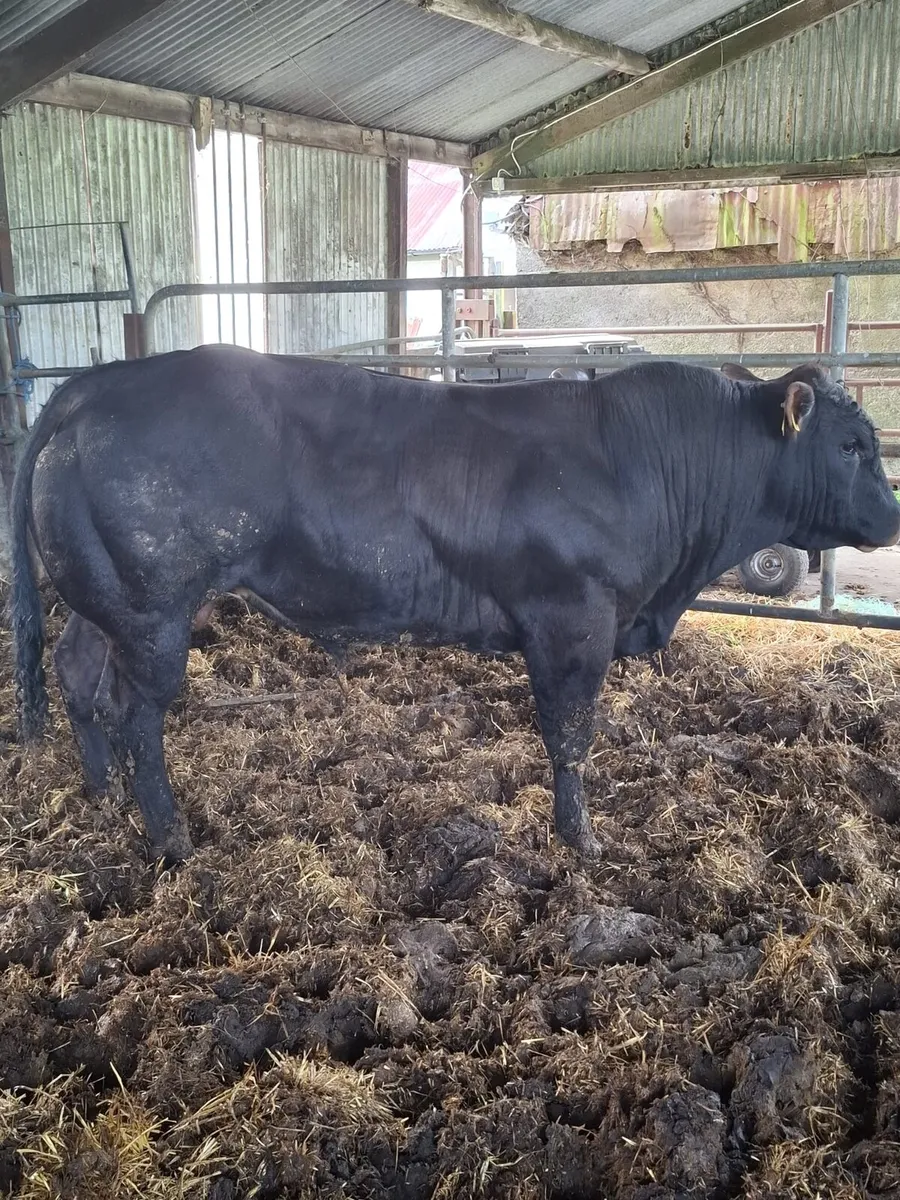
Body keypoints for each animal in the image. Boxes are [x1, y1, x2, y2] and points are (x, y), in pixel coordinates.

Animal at [10, 347, 900, 864]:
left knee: (79, 674)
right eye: (851, 445)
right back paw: (171, 838)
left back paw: (100, 792)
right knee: (137, 715)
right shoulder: (573, 619)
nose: (894, 517)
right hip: (152, 607)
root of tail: (95, 385)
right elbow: (570, 738)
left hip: (105, 600)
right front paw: (583, 842)